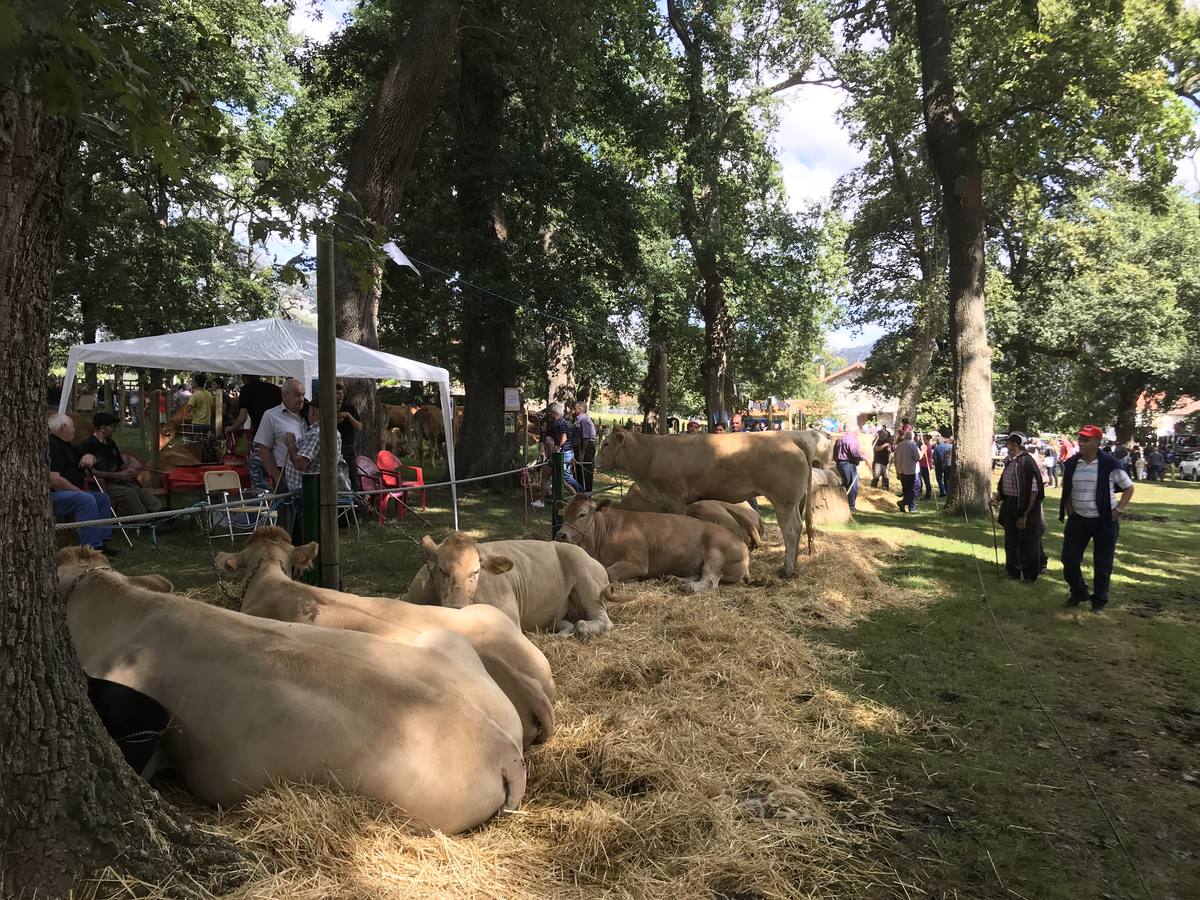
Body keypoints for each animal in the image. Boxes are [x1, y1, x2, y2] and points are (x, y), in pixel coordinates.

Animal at [554, 496, 744, 595]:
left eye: (582, 514)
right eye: (564, 513)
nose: (560, 534)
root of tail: (740, 542)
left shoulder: (637, 562)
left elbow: (609, 572)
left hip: (716, 554)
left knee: (710, 580)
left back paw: (689, 586)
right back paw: (673, 578)